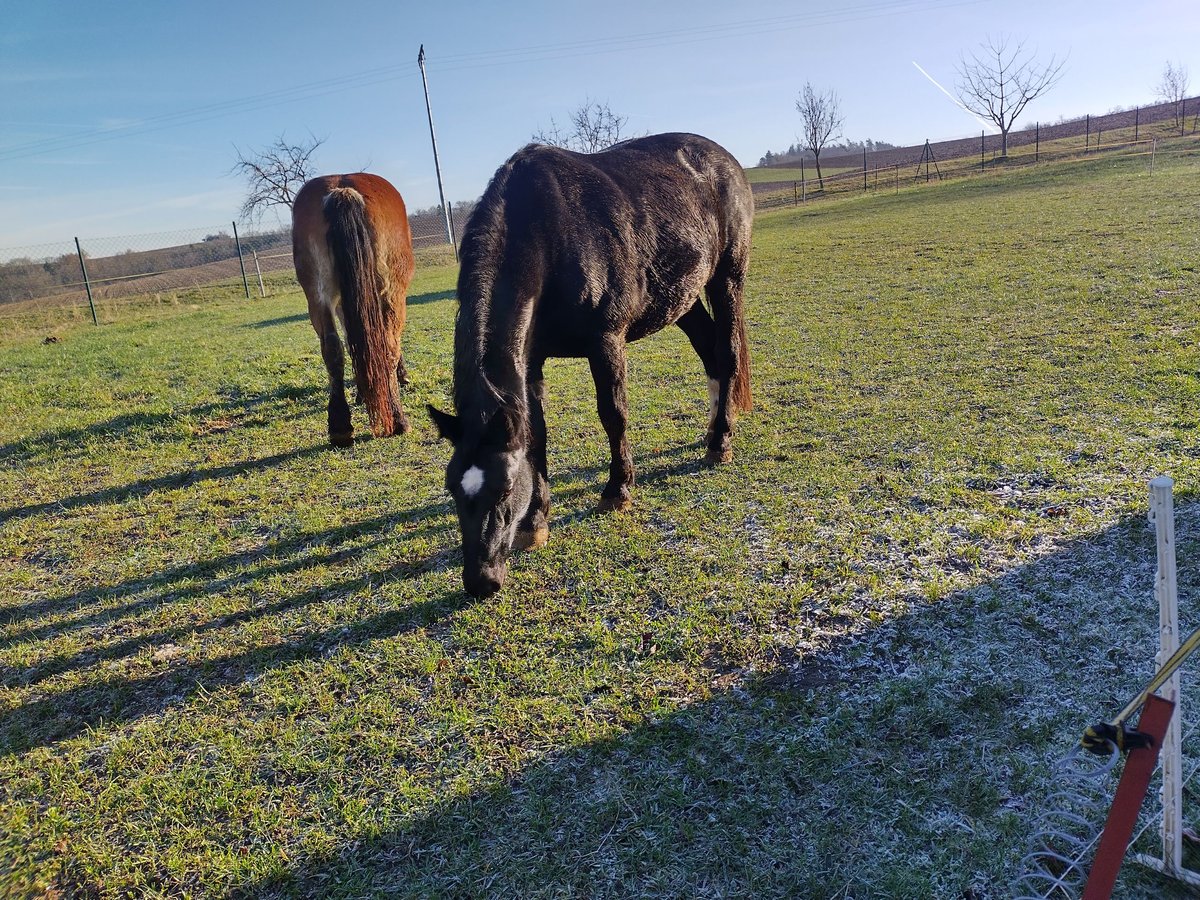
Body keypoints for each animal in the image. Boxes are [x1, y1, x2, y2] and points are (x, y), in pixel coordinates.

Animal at [292, 172, 415, 448]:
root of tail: (343, 190)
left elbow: (354, 343)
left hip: (318, 295)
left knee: (332, 350)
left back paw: (340, 427)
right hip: (391, 290)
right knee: (388, 346)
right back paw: (397, 419)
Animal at [429, 133, 748, 600]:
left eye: (505, 487)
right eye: (452, 487)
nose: (480, 582)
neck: (547, 231)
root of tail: (724, 158)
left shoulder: (606, 341)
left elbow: (613, 415)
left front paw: (618, 490)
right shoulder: (532, 362)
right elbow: (537, 436)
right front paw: (535, 522)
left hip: (726, 280)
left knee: (726, 355)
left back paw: (721, 440)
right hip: (682, 298)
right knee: (710, 354)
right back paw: (710, 434)